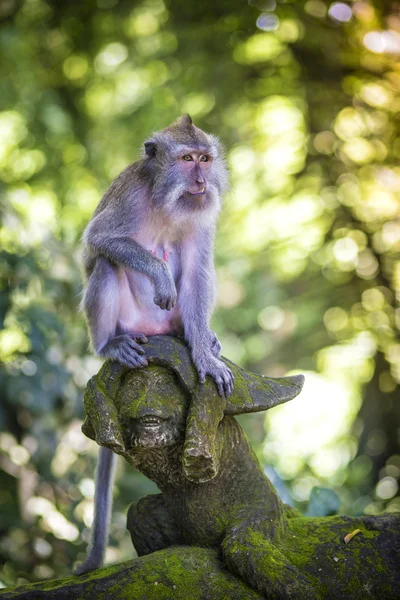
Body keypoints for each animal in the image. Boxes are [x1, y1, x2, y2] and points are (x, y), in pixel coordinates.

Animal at [73, 115, 233, 576]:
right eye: (186, 159)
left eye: (204, 159)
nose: (201, 180)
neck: (166, 200)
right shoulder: (128, 199)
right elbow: (99, 240)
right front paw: (159, 275)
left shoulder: (202, 216)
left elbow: (197, 270)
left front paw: (203, 354)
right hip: (130, 321)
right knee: (107, 264)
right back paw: (109, 345)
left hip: (169, 321)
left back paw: (198, 337)